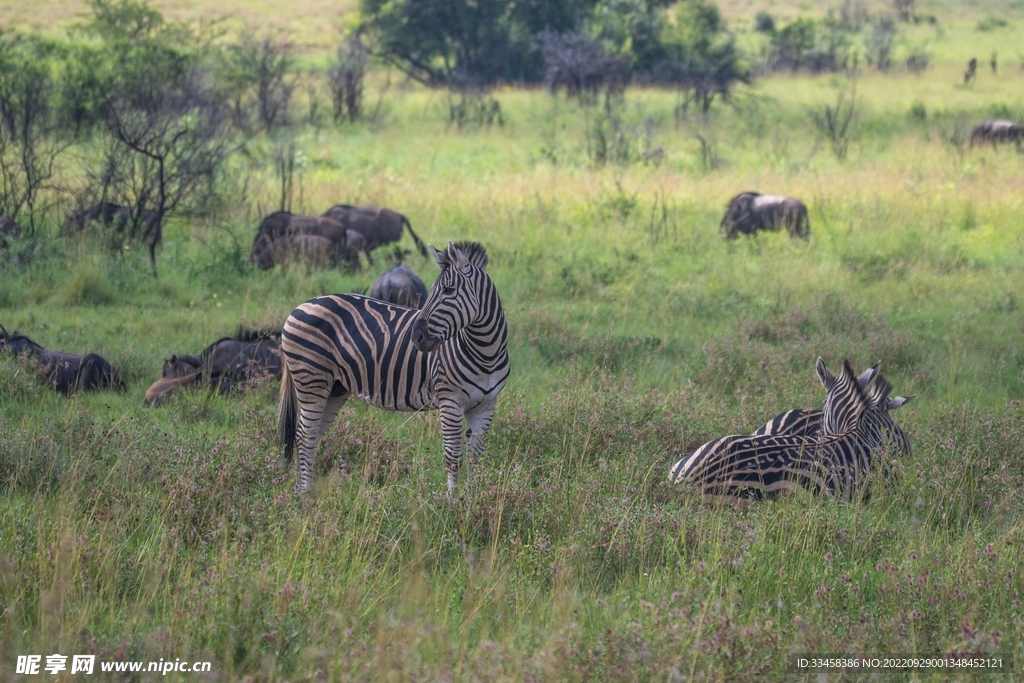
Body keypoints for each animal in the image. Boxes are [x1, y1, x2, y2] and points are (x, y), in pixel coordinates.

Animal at [278, 242, 509, 493]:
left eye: (449, 290)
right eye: (431, 291)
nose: (417, 337)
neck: (485, 352)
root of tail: (300, 305)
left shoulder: (486, 405)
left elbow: (476, 459)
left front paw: (474, 497)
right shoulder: (450, 401)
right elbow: (453, 457)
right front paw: (452, 500)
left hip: (334, 388)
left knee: (312, 436)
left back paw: (305, 493)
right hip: (311, 378)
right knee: (304, 436)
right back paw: (303, 494)